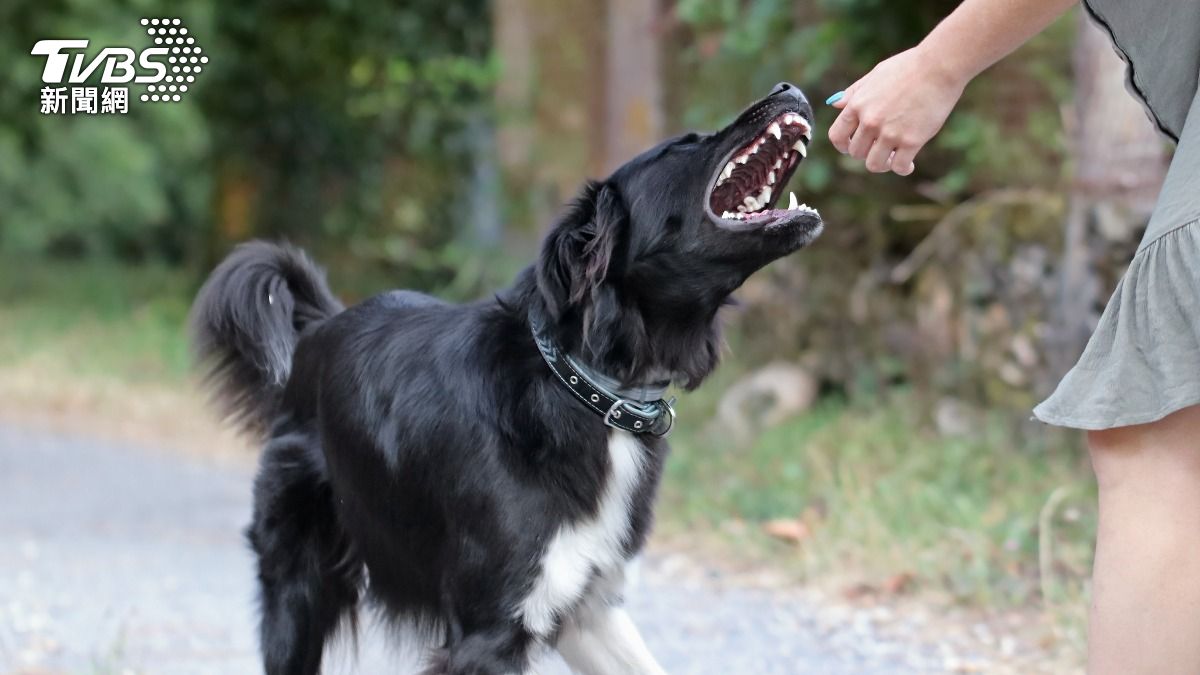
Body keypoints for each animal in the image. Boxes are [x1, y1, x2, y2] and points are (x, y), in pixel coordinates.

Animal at [192, 81, 820, 667]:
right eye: (683, 145)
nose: (788, 88)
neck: (585, 388)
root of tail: (318, 329)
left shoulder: (588, 608)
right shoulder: (488, 632)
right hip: (299, 587)